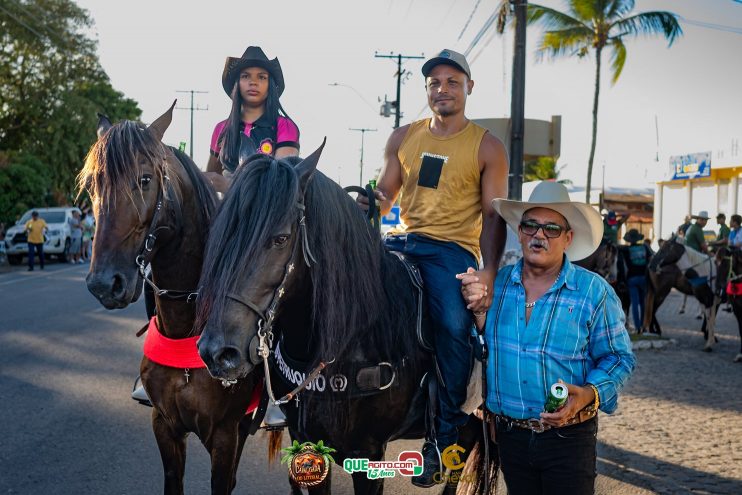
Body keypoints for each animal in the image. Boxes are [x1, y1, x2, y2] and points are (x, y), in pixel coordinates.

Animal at [80, 102, 262, 494]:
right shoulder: (164, 424)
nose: (104, 283)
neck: (185, 327)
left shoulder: (225, 434)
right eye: (92, 185)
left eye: (146, 179)